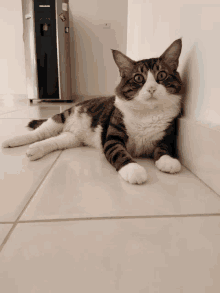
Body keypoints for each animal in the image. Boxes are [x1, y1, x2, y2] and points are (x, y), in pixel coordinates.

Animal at [2, 37, 183, 184]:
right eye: (139, 78)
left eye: (162, 75)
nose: (152, 88)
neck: (147, 113)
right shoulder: (112, 138)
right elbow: (120, 153)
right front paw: (134, 170)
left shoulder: (167, 136)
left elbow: (164, 148)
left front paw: (168, 161)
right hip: (60, 118)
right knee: (39, 133)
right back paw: (12, 141)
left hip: (72, 138)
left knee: (52, 141)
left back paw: (35, 150)